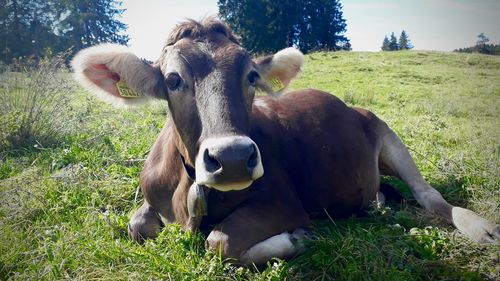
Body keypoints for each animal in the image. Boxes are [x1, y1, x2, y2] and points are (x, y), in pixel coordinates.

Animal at [71, 18, 500, 264]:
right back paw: (378, 203)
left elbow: (221, 241)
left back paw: (481, 227)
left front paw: (294, 239)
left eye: (251, 76)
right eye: (173, 79)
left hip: (388, 134)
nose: (232, 157)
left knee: (430, 197)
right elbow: (136, 226)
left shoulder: (283, 202)